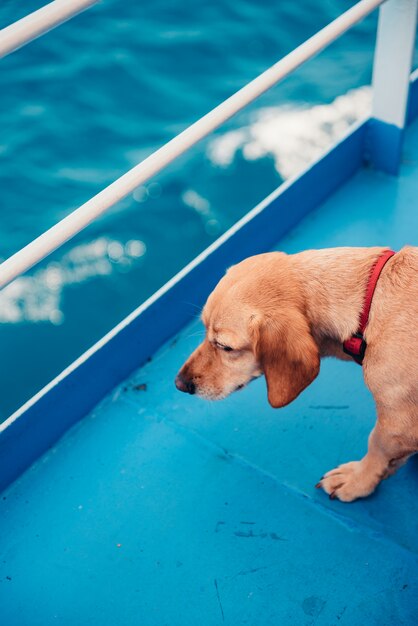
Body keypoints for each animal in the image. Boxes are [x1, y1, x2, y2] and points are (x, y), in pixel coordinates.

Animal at [175, 246, 416, 500]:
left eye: (225, 347)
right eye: (204, 328)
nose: (179, 383)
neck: (368, 309)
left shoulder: (398, 425)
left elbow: (377, 446)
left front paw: (358, 479)